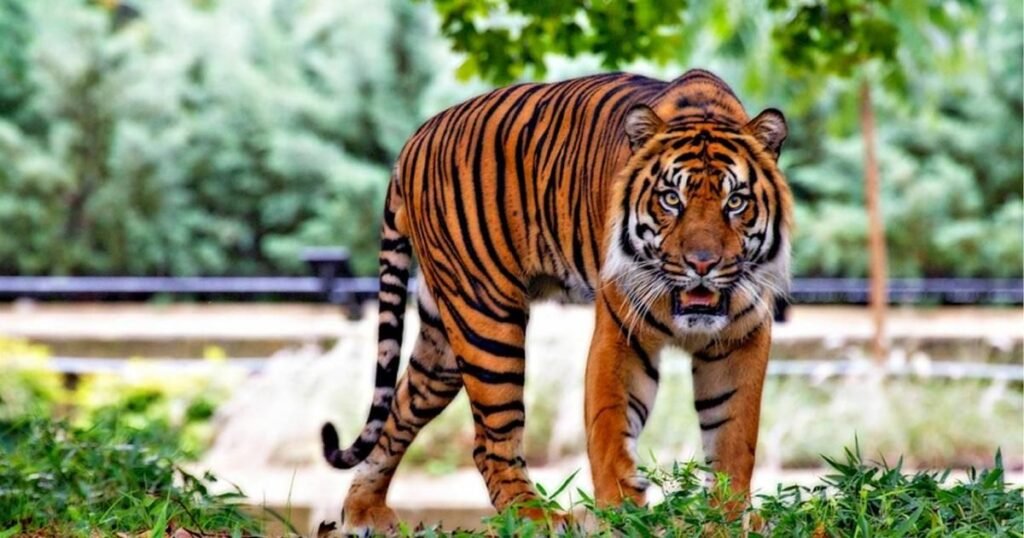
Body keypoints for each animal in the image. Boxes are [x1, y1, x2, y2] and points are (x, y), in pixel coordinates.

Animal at [320, 68, 793, 533]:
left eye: (736, 202)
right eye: (671, 199)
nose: (702, 264)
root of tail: (415, 138)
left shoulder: (742, 338)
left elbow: (733, 437)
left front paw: (725, 518)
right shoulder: (620, 333)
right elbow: (611, 428)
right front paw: (622, 515)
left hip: (443, 341)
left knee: (400, 409)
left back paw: (364, 511)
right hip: (487, 319)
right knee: (490, 441)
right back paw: (536, 517)